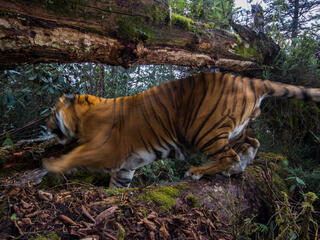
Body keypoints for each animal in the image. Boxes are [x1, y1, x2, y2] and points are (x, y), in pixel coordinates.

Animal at [43, 72, 320, 188]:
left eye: (51, 113)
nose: (46, 126)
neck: (82, 116)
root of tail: (248, 80)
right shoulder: (125, 166)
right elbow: (118, 184)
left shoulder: (106, 151)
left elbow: (76, 156)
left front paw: (51, 166)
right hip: (235, 128)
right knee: (252, 144)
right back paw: (234, 170)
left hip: (204, 128)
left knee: (229, 155)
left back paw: (197, 171)